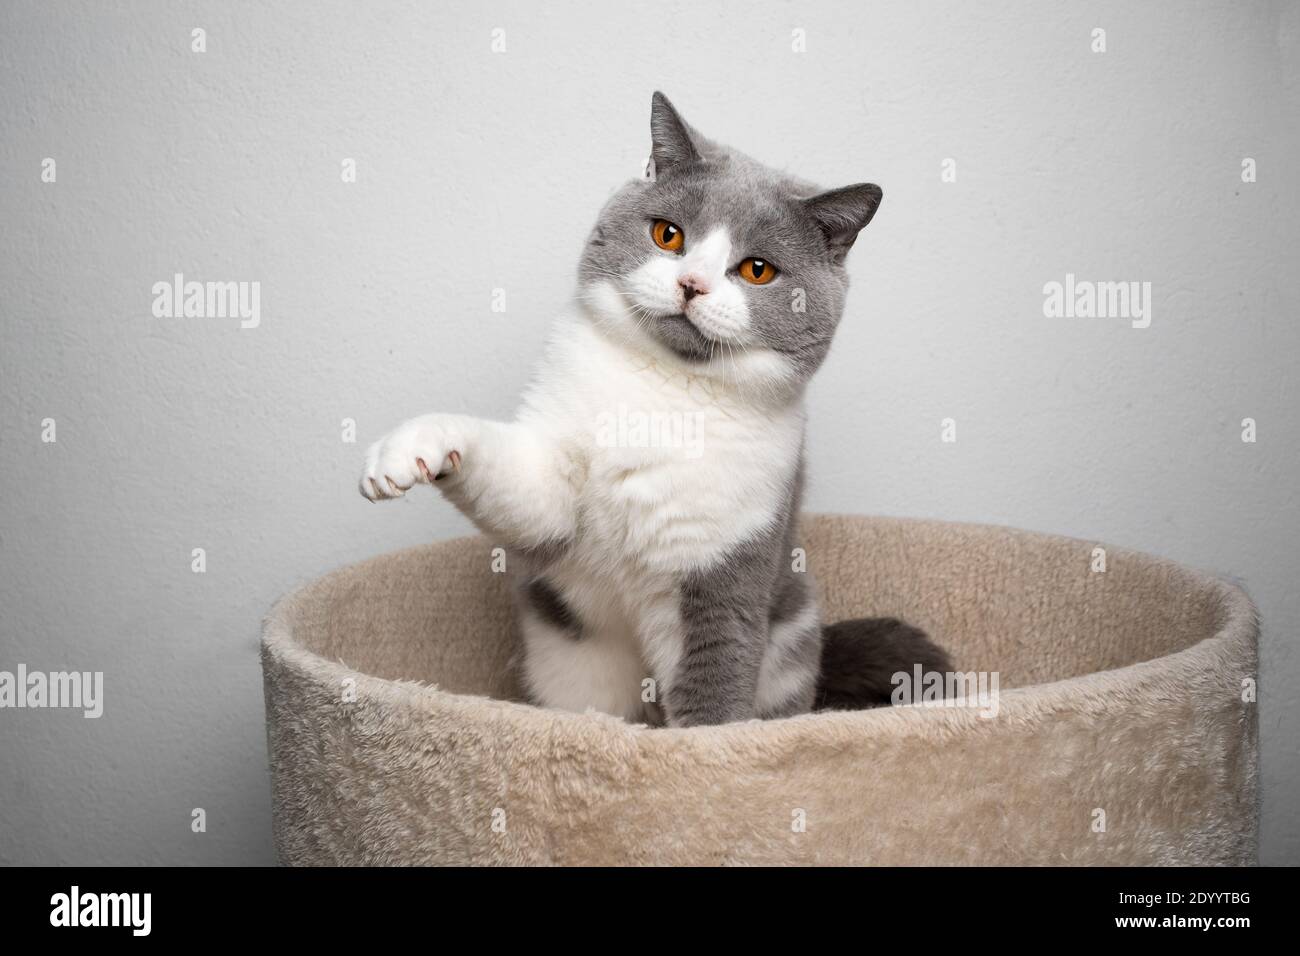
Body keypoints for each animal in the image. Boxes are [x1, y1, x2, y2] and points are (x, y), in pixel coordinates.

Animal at [361, 93, 951, 728]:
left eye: (758, 269)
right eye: (668, 235)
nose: (691, 283)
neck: (662, 390)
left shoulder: (724, 569)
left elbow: (713, 695)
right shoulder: (552, 491)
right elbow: (518, 488)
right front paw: (406, 452)